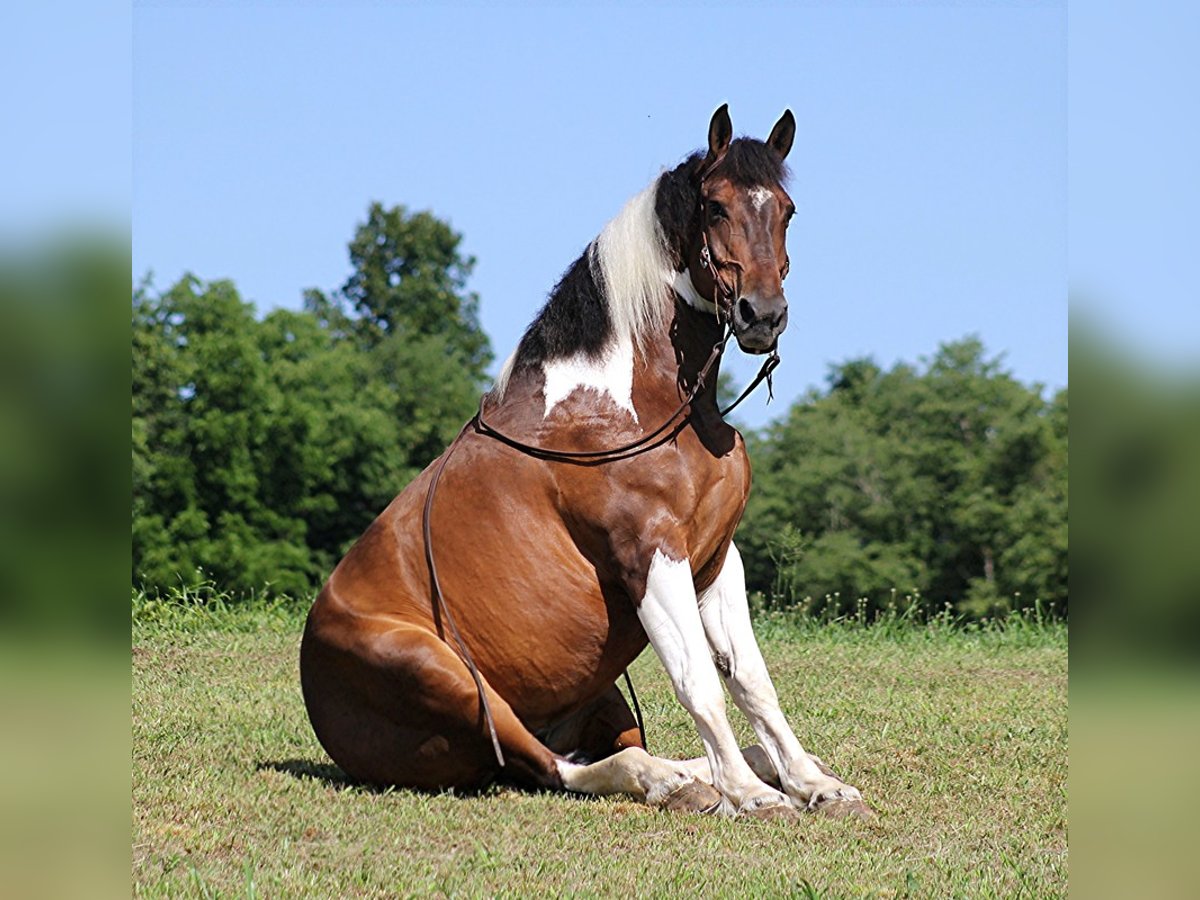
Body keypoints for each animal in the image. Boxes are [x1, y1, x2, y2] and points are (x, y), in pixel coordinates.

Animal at [295, 102, 868, 820]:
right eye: (714, 206)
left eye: (787, 210)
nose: (761, 315)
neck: (630, 405)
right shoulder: (650, 553)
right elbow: (699, 682)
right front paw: (753, 797)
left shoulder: (715, 557)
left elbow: (752, 683)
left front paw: (814, 784)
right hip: (448, 678)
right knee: (558, 768)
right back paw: (683, 785)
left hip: (593, 694)